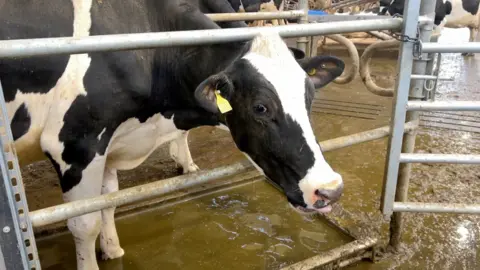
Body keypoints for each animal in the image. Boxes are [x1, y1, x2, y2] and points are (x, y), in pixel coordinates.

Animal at [0, 0, 344, 270]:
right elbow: (84, 223)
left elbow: (108, 203)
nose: (329, 189)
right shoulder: (76, 146)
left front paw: (113, 250)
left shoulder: (110, 143)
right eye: (260, 107)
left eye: (310, 96)